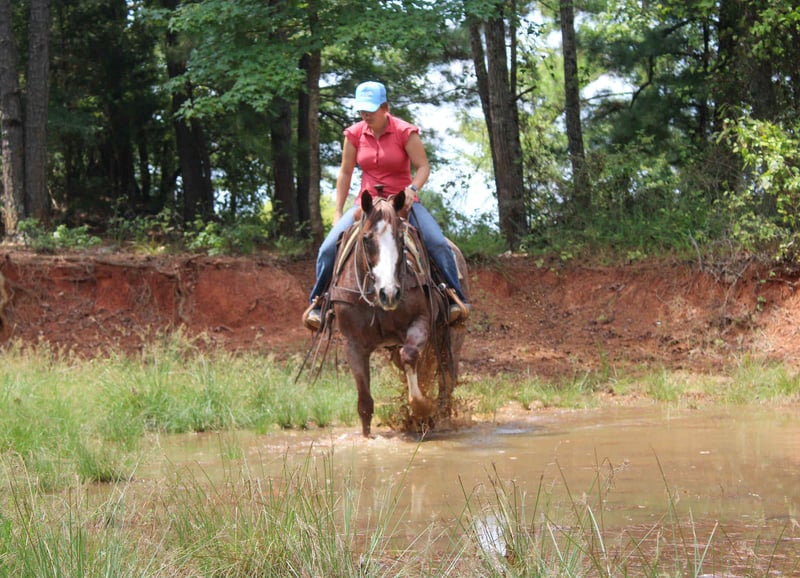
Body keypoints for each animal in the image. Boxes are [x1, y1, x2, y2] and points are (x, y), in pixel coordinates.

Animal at [324, 190, 469, 437]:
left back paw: (441, 416)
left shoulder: (420, 322)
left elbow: (409, 356)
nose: (389, 293)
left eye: (401, 238)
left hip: (451, 338)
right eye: (366, 238)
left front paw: (422, 408)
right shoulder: (353, 343)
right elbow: (364, 401)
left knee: (447, 379)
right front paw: (367, 436)